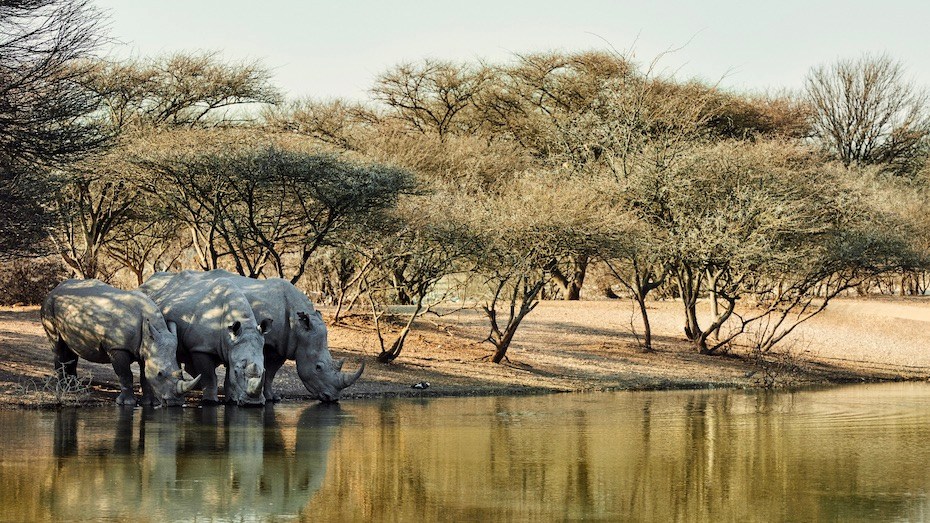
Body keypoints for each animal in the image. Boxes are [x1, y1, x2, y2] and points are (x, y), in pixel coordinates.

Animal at [40, 279, 200, 407]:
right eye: (160, 374)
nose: (175, 403)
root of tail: (56, 288)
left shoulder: (145, 348)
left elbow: (145, 376)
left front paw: (149, 403)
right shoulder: (117, 347)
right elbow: (125, 374)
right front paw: (127, 403)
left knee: (71, 349)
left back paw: (74, 388)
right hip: (48, 305)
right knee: (58, 345)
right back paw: (64, 388)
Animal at [139, 271, 270, 406]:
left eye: (263, 370)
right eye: (237, 372)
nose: (253, 403)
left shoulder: (232, 348)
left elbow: (229, 379)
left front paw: (231, 400)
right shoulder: (201, 347)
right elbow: (209, 376)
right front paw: (210, 401)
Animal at [178, 270, 364, 402]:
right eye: (318, 367)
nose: (332, 398)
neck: (300, 328)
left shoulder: (283, 345)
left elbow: (270, 373)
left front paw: (272, 398)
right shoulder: (269, 343)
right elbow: (265, 369)